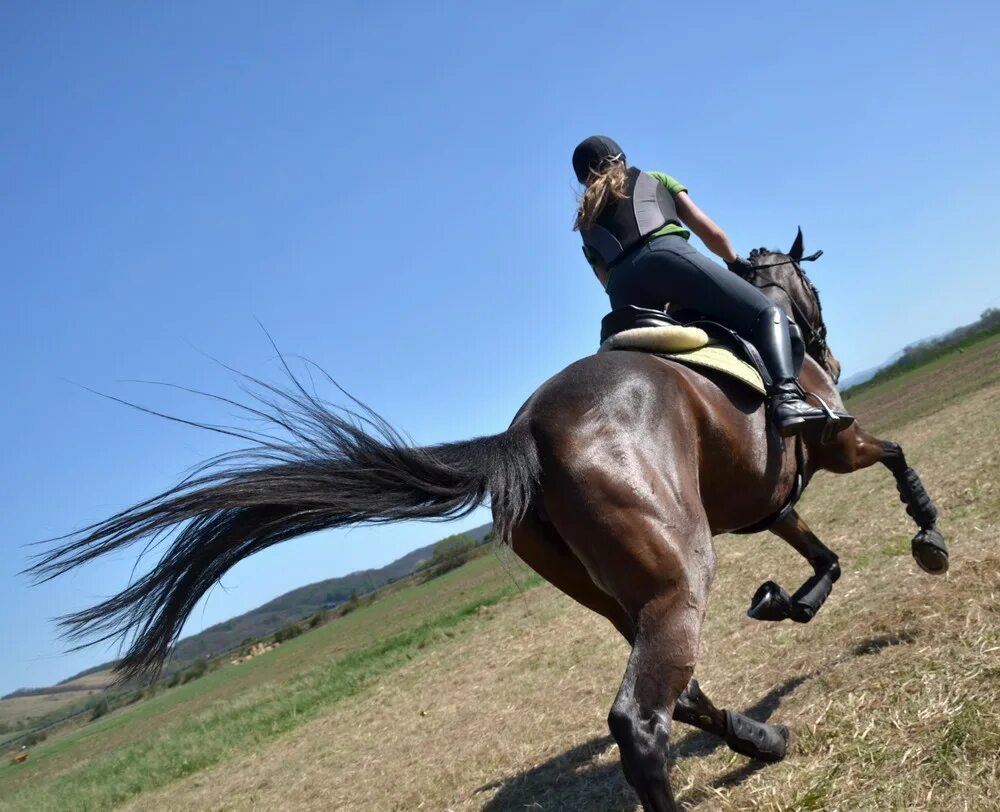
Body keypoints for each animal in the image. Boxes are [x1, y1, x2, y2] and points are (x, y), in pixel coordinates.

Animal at [31, 225, 948, 808]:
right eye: (811, 286)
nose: (828, 347)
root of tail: (526, 434)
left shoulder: (768, 502)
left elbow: (820, 555)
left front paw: (787, 601)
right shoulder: (837, 443)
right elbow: (894, 456)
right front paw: (928, 537)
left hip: (625, 594)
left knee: (677, 694)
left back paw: (761, 740)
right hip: (678, 577)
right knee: (642, 722)